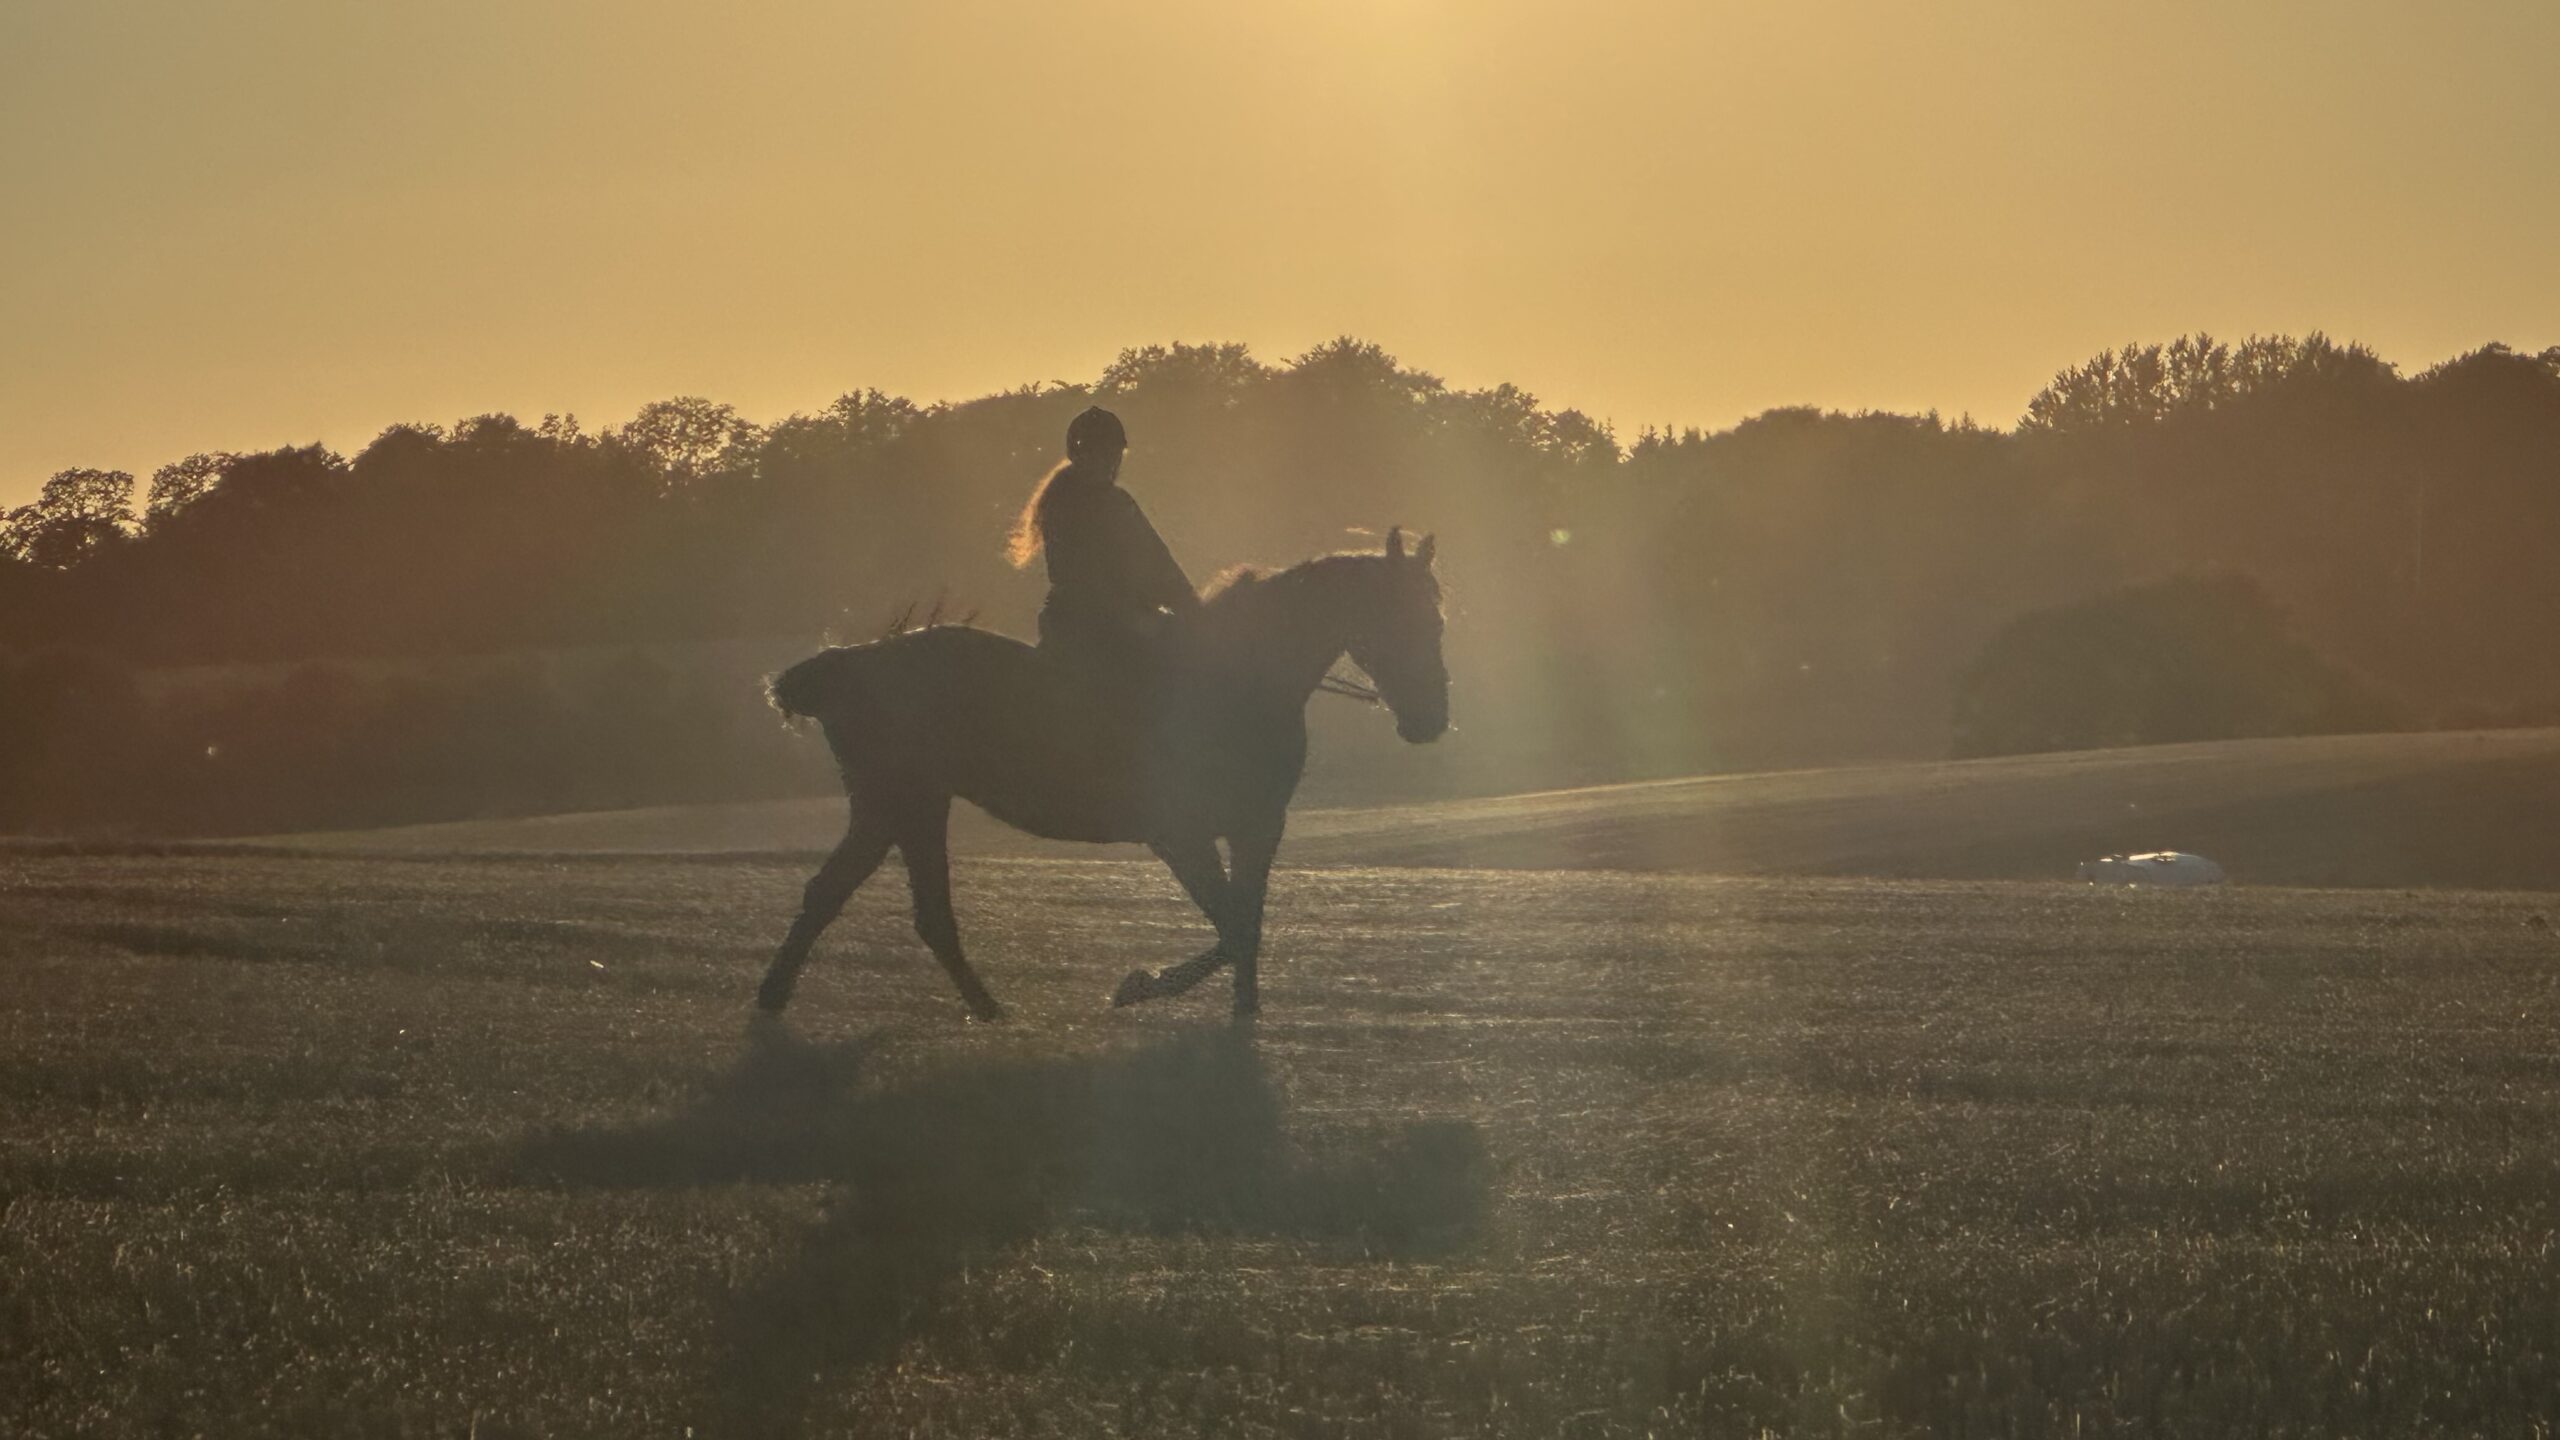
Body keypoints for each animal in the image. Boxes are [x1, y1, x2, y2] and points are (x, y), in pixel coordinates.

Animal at [752, 520, 1443, 1014]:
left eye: (1436, 615)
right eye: (1400, 614)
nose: (1429, 720)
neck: (1241, 680)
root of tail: (850, 663)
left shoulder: (1257, 829)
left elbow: (1244, 925)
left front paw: (1241, 1009)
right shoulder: (1180, 834)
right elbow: (1231, 925)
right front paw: (1144, 984)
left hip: (906, 806)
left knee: (880, 902)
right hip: (899, 802)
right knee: (865, 899)